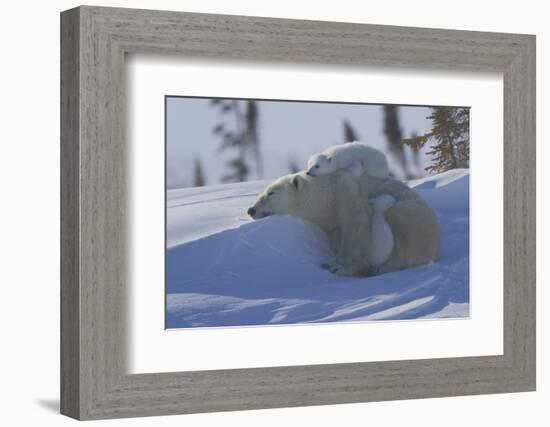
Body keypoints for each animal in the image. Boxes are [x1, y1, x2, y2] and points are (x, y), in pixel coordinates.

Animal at [248, 171, 442, 278]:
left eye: (271, 193)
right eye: (263, 192)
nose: (251, 209)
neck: (324, 195)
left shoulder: (346, 190)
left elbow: (355, 224)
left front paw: (343, 268)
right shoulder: (331, 220)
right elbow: (337, 236)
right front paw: (331, 262)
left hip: (411, 215)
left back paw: (382, 268)